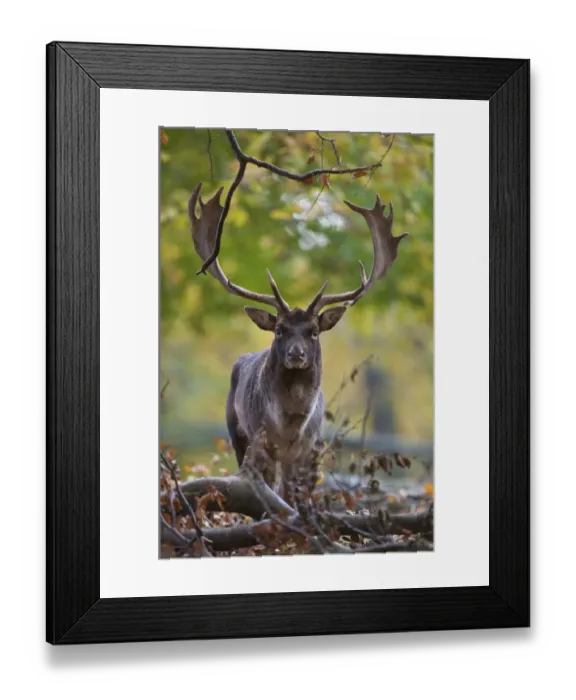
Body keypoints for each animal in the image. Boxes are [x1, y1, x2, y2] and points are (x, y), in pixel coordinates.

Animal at [188, 183, 408, 506]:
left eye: (314, 331)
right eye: (279, 330)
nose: (296, 353)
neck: (290, 426)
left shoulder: (311, 447)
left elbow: (296, 494)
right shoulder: (260, 439)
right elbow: (267, 489)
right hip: (235, 429)